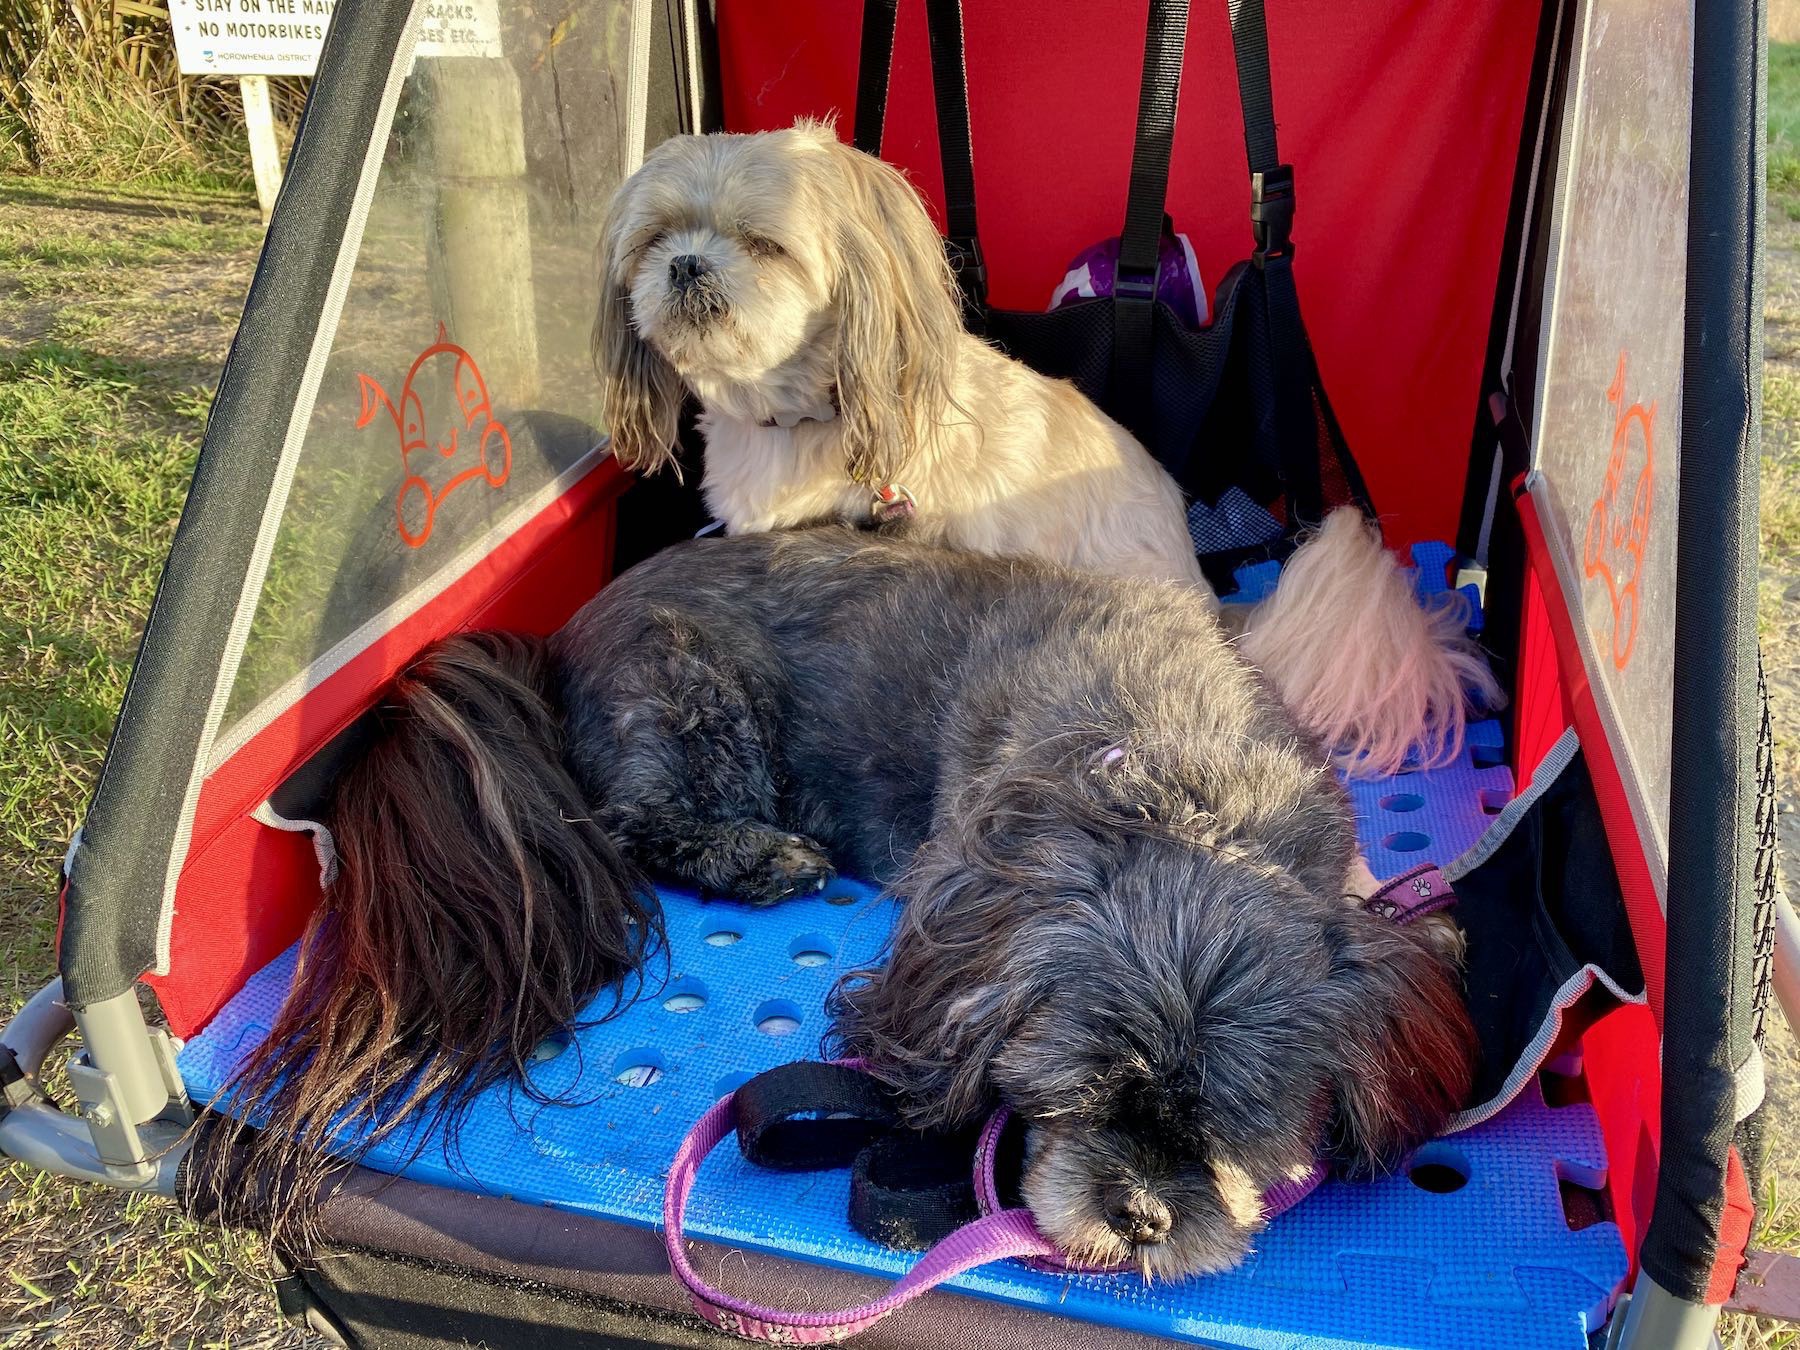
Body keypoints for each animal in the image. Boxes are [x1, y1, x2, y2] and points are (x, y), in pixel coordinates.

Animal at [217, 529, 1468, 1281]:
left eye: (1235, 1135)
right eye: (1069, 1102)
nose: (1144, 1216)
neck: (1175, 772)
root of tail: (567, 629)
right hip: (690, 697)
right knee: (630, 822)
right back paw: (762, 858)